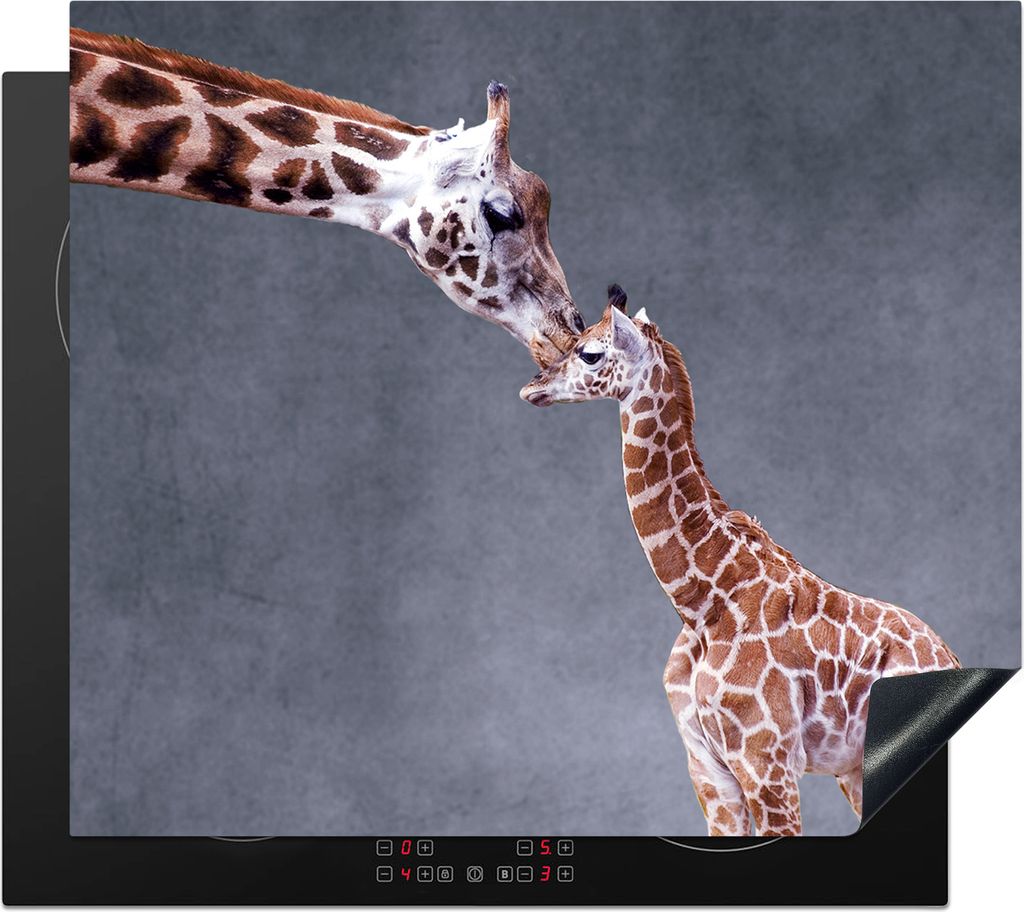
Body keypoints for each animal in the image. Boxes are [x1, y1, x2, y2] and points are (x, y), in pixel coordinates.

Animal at [520, 286, 960, 837]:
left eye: (590, 353)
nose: (532, 387)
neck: (703, 602)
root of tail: (950, 657)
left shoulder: (766, 762)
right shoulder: (708, 770)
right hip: (855, 769)